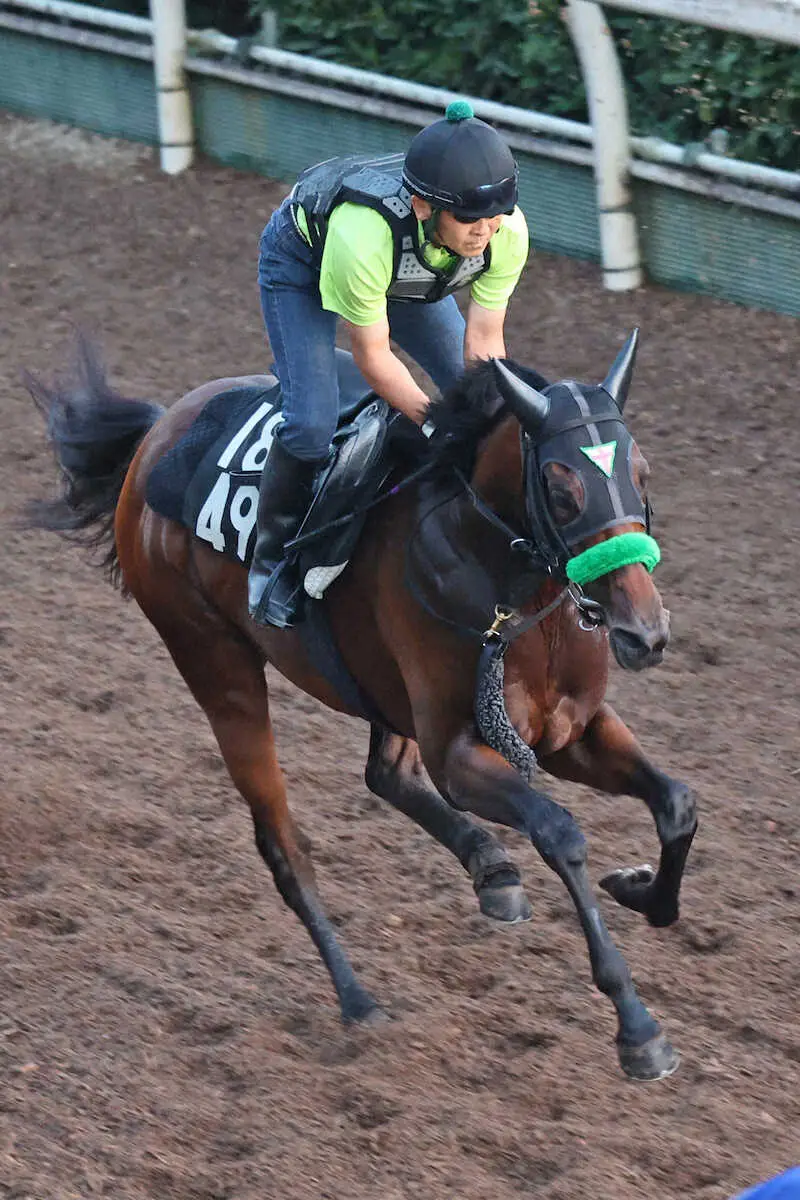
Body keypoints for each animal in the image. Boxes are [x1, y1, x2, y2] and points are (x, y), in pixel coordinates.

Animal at [26, 333, 695, 1084]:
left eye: (640, 473)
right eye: (560, 488)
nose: (644, 633)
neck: (505, 580)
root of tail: (157, 433)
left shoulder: (570, 730)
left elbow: (676, 802)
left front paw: (642, 890)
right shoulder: (458, 750)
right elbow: (560, 833)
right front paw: (638, 1028)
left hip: (376, 687)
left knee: (386, 773)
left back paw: (491, 869)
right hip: (215, 665)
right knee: (285, 845)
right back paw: (358, 998)